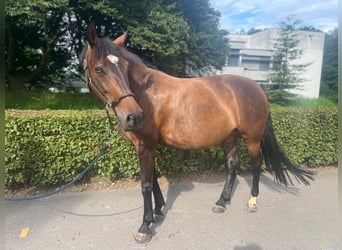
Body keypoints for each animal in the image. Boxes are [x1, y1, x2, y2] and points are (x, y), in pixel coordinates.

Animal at [79, 23, 312, 242]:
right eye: (99, 69)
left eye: (124, 67)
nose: (133, 116)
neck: (145, 93)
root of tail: (258, 88)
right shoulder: (145, 146)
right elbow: (153, 178)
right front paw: (158, 210)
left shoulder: (146, 145)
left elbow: (145, 184)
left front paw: (145, 226)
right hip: (229, 137)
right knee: (232, 164)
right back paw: (222, 202)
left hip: (252, 138)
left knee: (256, 164)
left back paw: (252, 201)